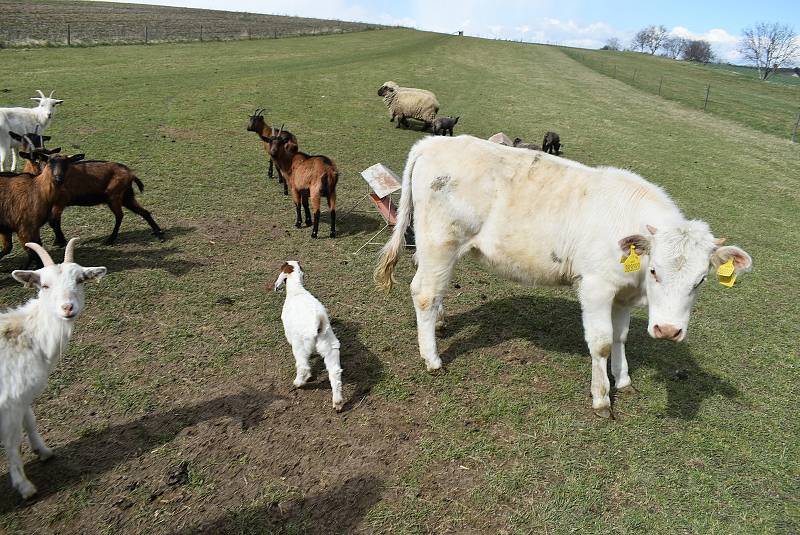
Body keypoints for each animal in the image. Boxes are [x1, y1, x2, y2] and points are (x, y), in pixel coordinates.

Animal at [0, 239, 106, 498]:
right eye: (45, 285)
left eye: (80, 280)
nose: (67, 308)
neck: (28, 335)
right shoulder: (9, 400)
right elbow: (12, 442)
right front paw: (24, 486)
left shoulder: (21, 393)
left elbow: (30, 420)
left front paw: (43, 451)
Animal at [276, 262, 344, 412]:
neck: (297, 290)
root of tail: (318, 322)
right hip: (330, 346)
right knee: (335, 372)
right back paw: (337, 402)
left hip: (300, 344)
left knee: (303, 367)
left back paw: (298, 383)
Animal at [376, 135, 752, 418]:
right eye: (655, 270)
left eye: (700, 280)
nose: (668, 330)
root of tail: (434, 142)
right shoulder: (596, 286)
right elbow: (601, 342)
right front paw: (602, 398)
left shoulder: (624, 295)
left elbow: (621, 337)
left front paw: (624, 379)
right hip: (440, 240)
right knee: (424, 292)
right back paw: (432, 359)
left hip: (435, 248)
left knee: (432, 287)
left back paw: (440, 323)